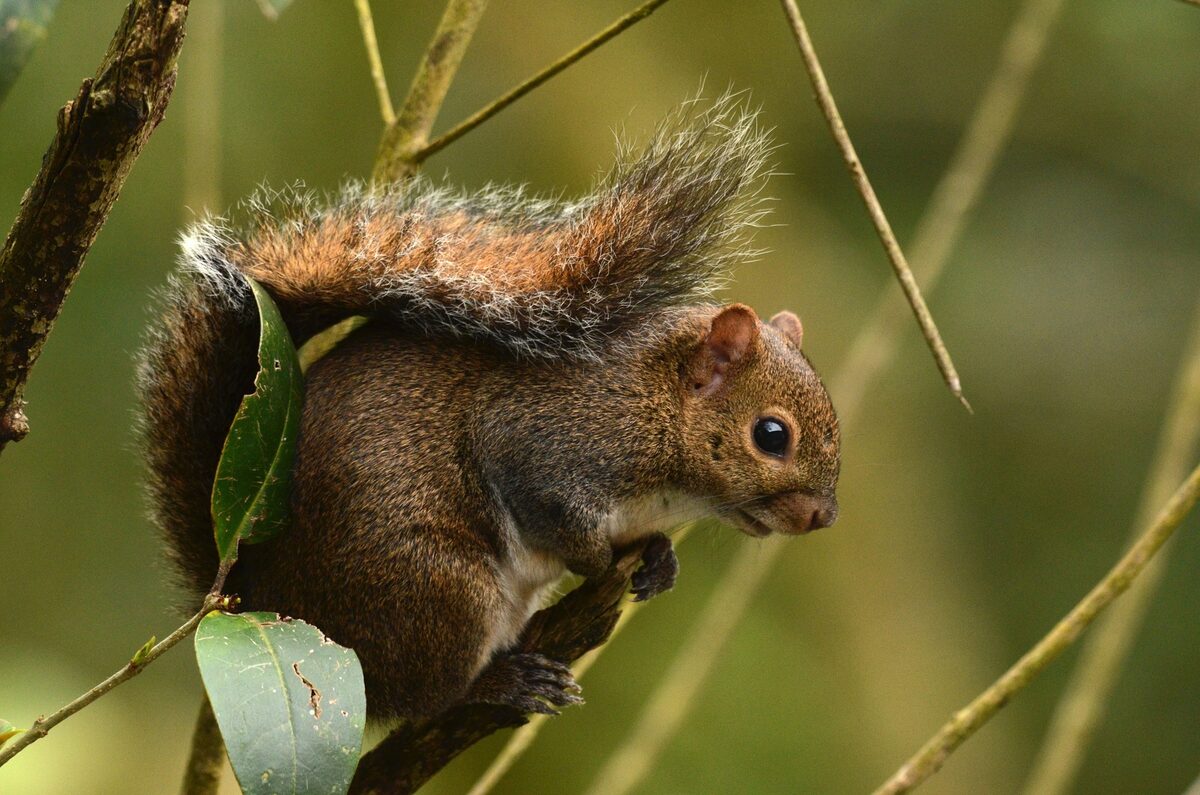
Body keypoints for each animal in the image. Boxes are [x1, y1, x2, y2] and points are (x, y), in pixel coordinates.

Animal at [138, 96, 840, 721]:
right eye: (771, 435)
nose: (822, 518)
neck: (656, 410)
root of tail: (262, 597)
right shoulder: (544, 443)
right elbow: (558, 517)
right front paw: (600, 562)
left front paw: (660, 560)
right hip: (437, 588)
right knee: (421, 699)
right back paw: (499, 685)